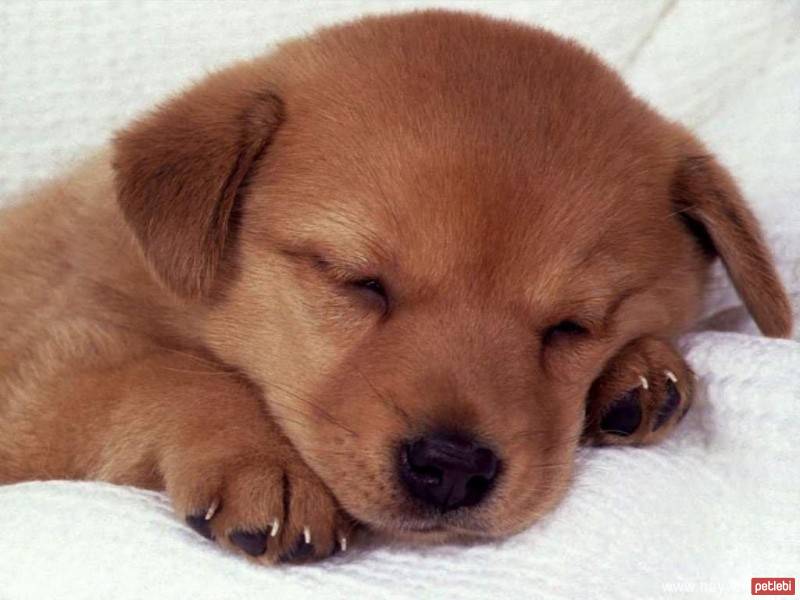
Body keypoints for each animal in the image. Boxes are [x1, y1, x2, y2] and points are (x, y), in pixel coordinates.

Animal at [0, 10, 792, 564]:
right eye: (359, 283)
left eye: (573, 326)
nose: (452, 468)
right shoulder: (37, 391)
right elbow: (167, 374)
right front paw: (264, 463)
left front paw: (638, 371)